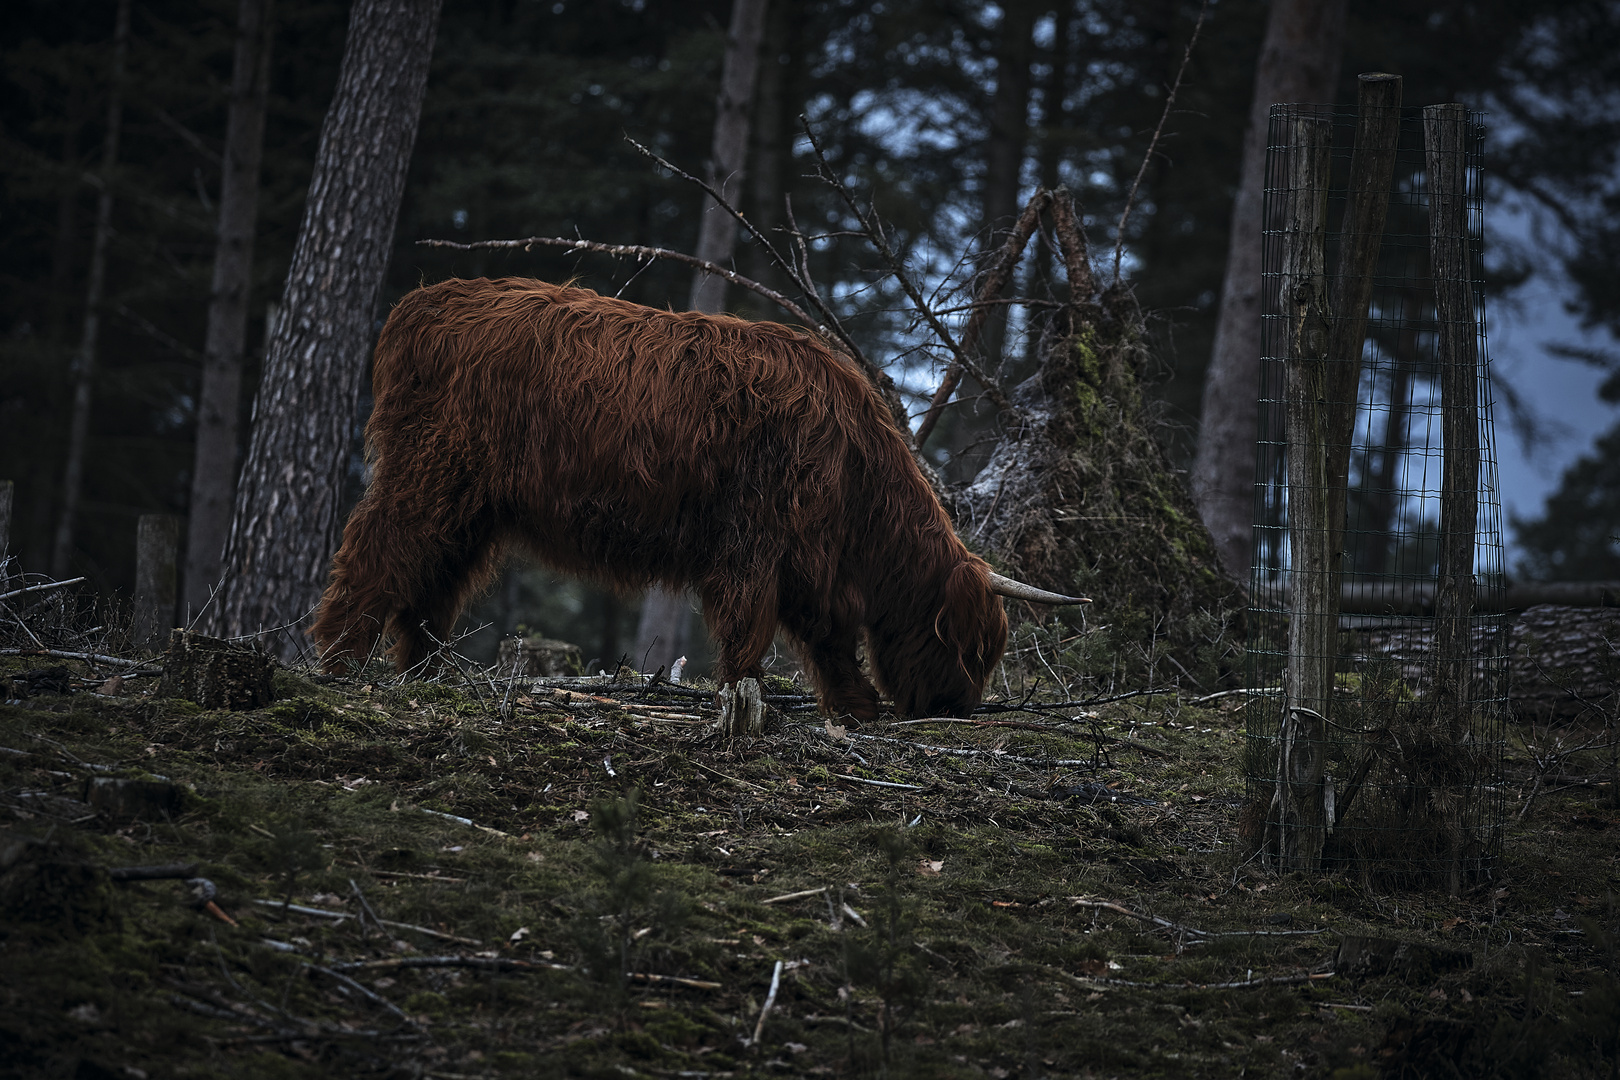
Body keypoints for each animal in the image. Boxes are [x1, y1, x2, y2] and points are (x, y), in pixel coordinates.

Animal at [309, 276, 1082, 725]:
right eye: (974, 647)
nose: (960, 707)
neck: (858, 472)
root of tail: (424, 300)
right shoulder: (757, 540)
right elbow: (752, 627)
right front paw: (745, 694)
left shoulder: (805, 561)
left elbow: (826, 636)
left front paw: (853, 705)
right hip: (429, 472)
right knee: (376, 552)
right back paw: (340, 664)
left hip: (472, 504)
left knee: (434, 578)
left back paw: (426, 673)